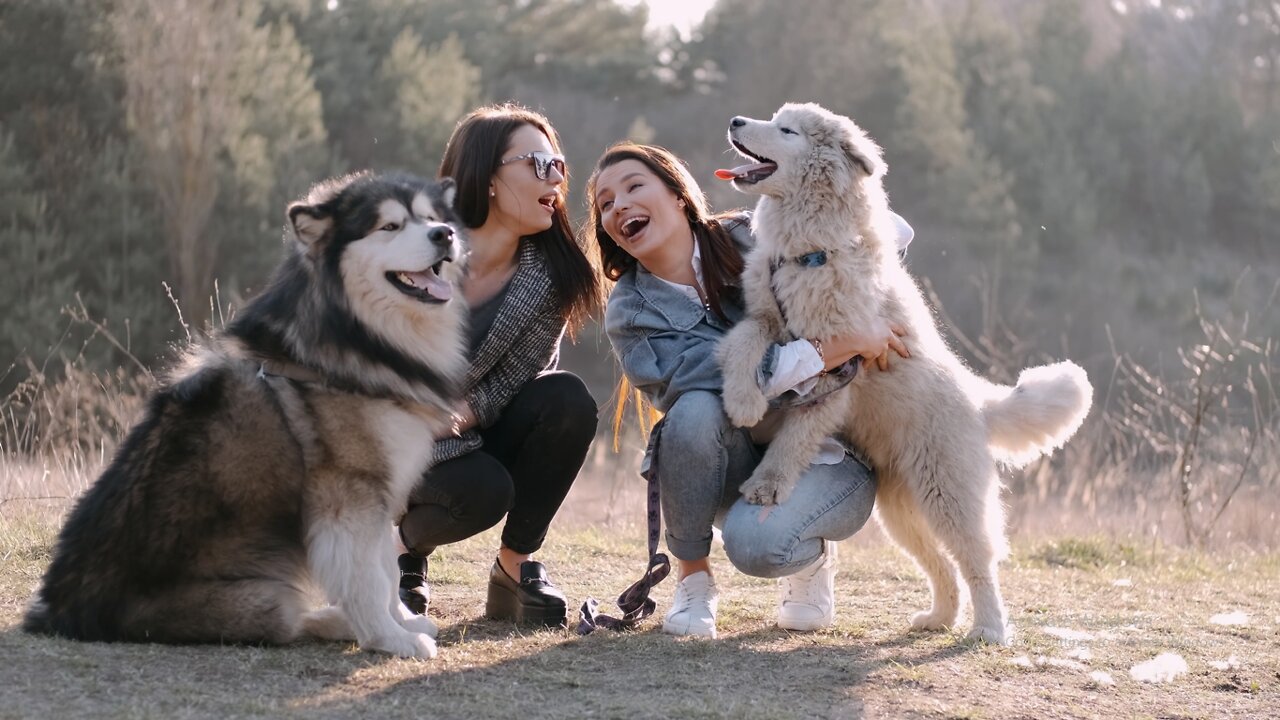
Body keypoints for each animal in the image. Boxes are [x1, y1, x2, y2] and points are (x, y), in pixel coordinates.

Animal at [24, 170, 468, 653]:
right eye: (389, 226)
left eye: (431, 217)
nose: (444, 235)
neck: (355, 334)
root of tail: (59, 610)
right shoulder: (349, 493)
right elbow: (370, 579)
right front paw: (391, 638)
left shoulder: (380, 491)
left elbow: (387, 567)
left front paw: (403, 622)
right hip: (266, 598)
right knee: (290, 621)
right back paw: (338, 621)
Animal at [716, 99, 1095, 638]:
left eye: (786, 130)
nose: (735, 122)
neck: (810, 252)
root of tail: (979, 402)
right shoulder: (765, 316)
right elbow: (742, 343)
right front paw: (742, 398)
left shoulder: (836, 370)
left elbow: (795, 437)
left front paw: (768, 484)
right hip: (901, 512)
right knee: (940, 564)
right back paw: (938, 618)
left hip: (948, 495)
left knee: (978, 561)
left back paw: (988, 629)